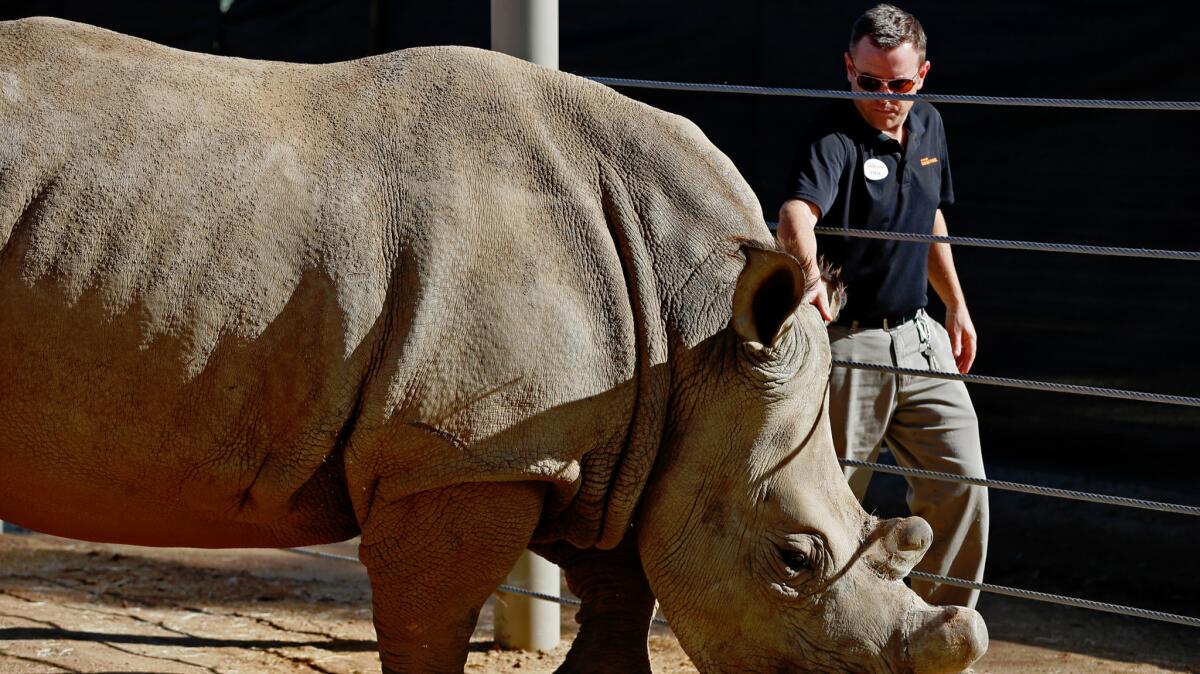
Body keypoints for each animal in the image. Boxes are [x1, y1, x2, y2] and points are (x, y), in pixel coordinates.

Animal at [0, 17, 984, 671]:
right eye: (794, 558)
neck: (698, 332)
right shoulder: (462, 457)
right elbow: (430, 629)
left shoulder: (620, 451)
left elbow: (621, 615)